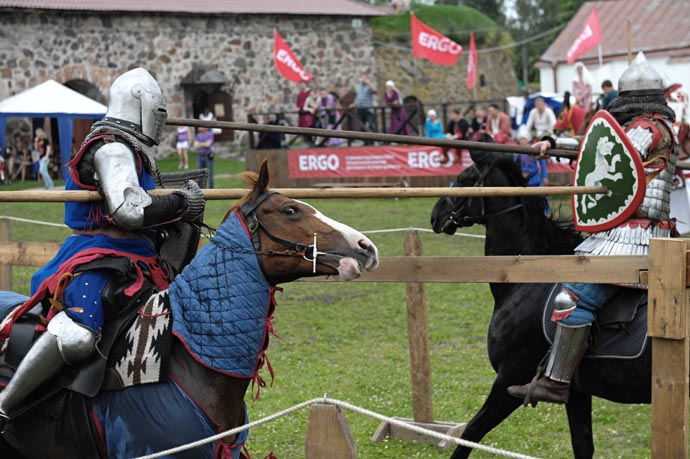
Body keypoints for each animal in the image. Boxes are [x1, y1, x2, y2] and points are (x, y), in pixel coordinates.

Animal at [428, 149, 652, 458]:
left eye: (463, 179)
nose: (435, 215)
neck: (529, 275)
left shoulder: (510, 379)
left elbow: (471, 433)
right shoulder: (575, 391)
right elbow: (583, 446)